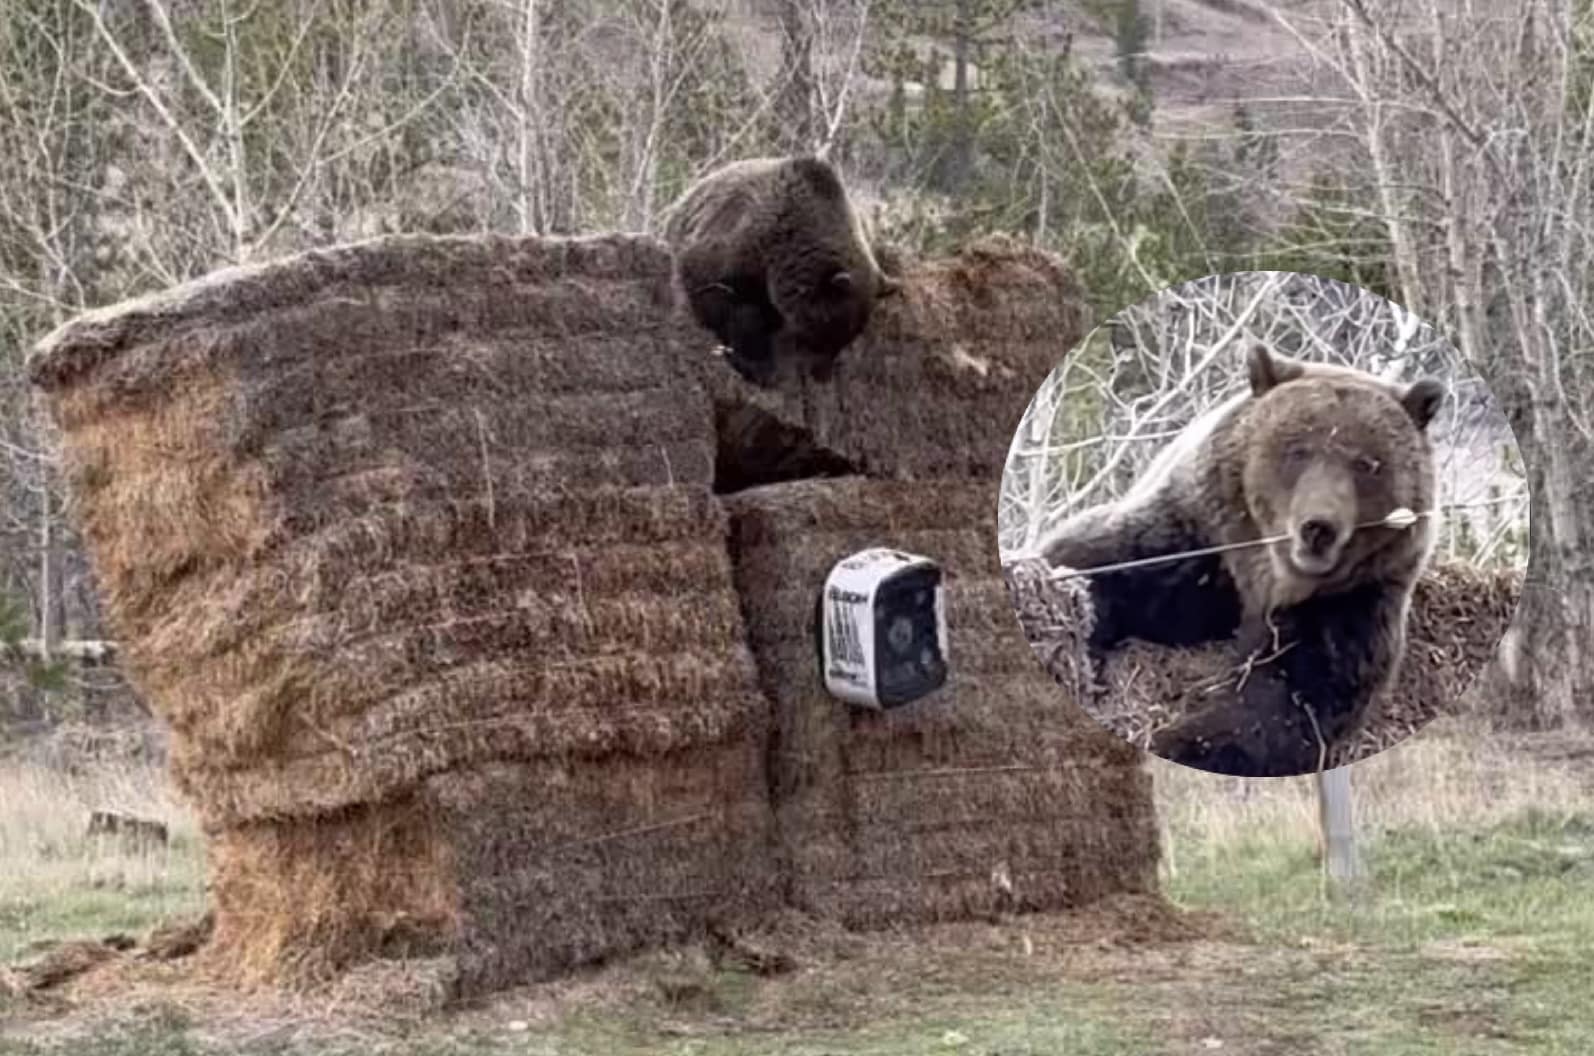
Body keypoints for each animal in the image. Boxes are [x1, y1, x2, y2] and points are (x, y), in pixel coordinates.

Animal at [661, 156, 901, 386]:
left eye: (848, 337)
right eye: (826, 330)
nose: (821, 376)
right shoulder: (732, 249)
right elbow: (725, 300)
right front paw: (755, 365)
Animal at [1036, 343, 1445, 777]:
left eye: (1368, 464)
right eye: (1297, 450)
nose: (1319, 527)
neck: (1268, 578)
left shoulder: (1350, 602)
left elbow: (1290, 696)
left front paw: (1182, 740)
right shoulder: (1191, 547)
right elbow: (1093, 566)